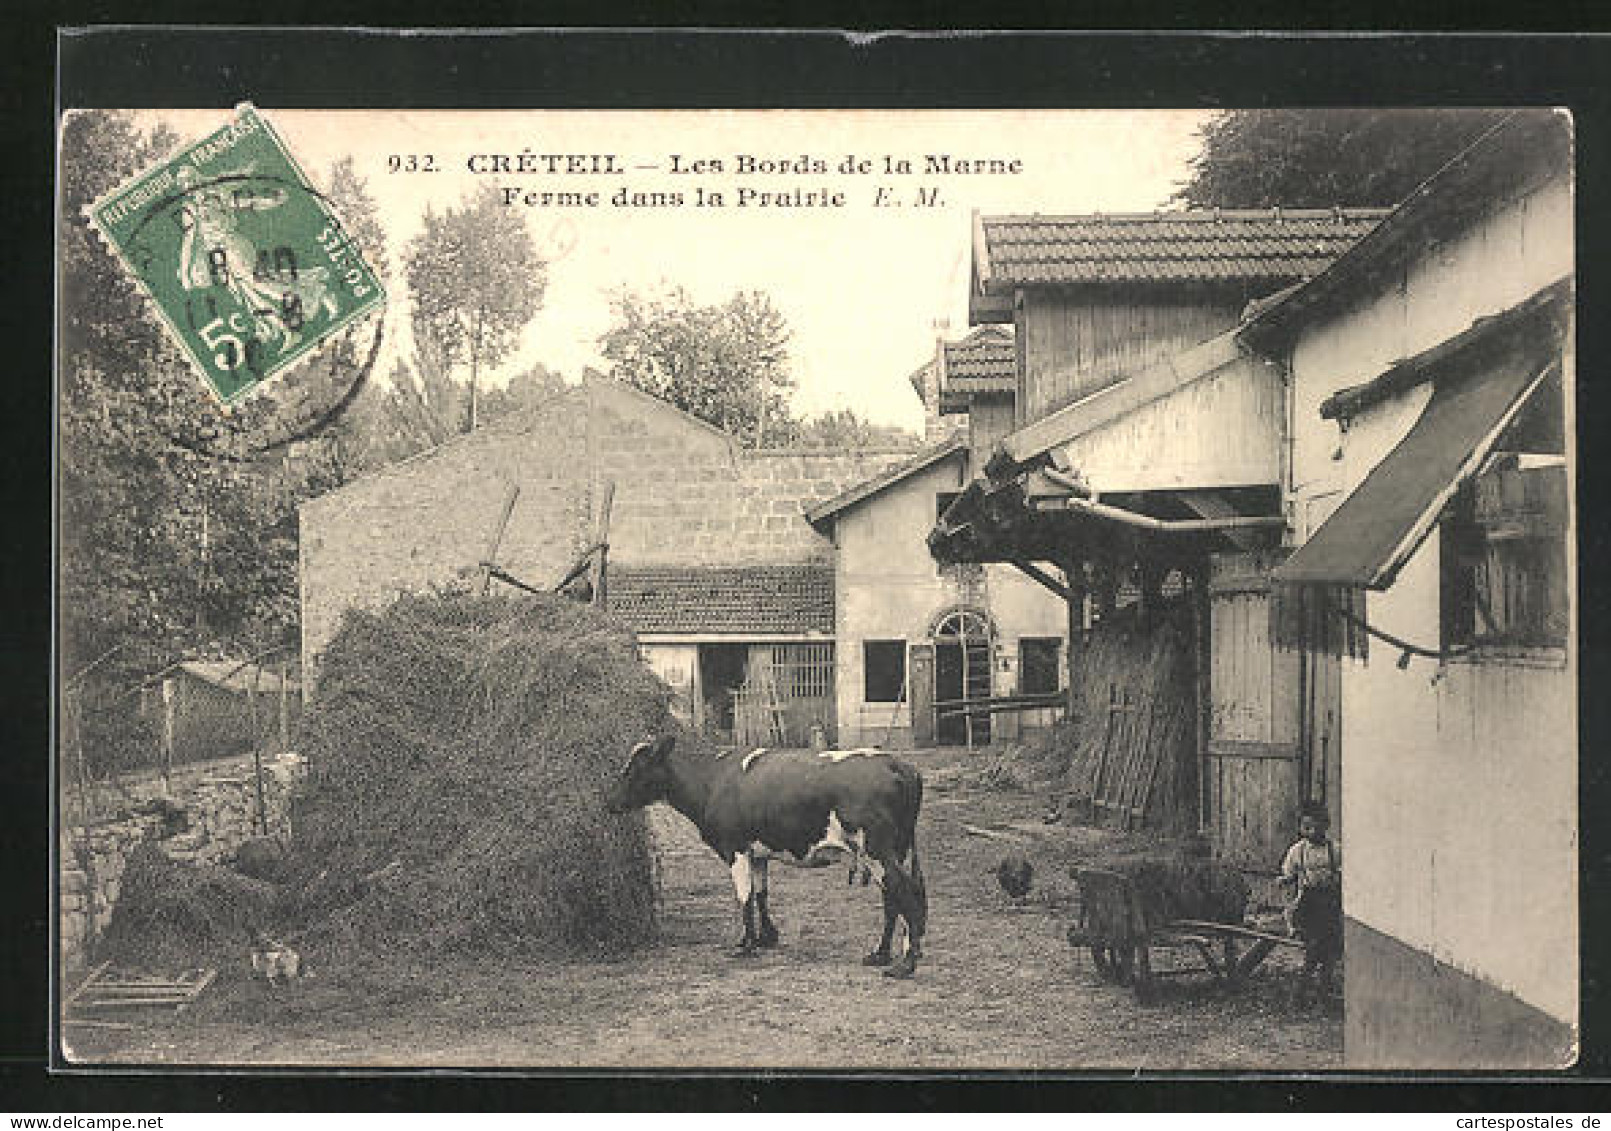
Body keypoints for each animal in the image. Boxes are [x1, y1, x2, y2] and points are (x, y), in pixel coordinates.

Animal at [605, 741, 934, 979]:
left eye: (635, 769)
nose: (611, 802)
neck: (712, 780)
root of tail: (899, 765)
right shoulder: (758, 852)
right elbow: (761, 893)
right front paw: (767, 937)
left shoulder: (734, 847)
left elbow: (744, 895)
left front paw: (745, 944)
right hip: (891, 852)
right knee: (893, 898)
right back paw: (881, 954)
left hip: (878, 850)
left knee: (906, 893)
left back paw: (905, 964)